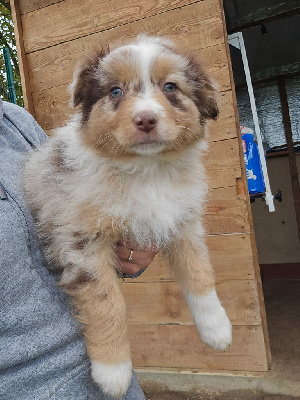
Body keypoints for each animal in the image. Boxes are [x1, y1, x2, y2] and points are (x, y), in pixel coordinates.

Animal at [25, 36, 232, 398]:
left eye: (170, 87)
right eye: (115, 91)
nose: (146, 120)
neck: (147, 171)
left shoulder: (182, 221)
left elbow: (199, 273)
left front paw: (216, 328)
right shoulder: (82, 242)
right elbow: (108, 302)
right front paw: (113, 370)